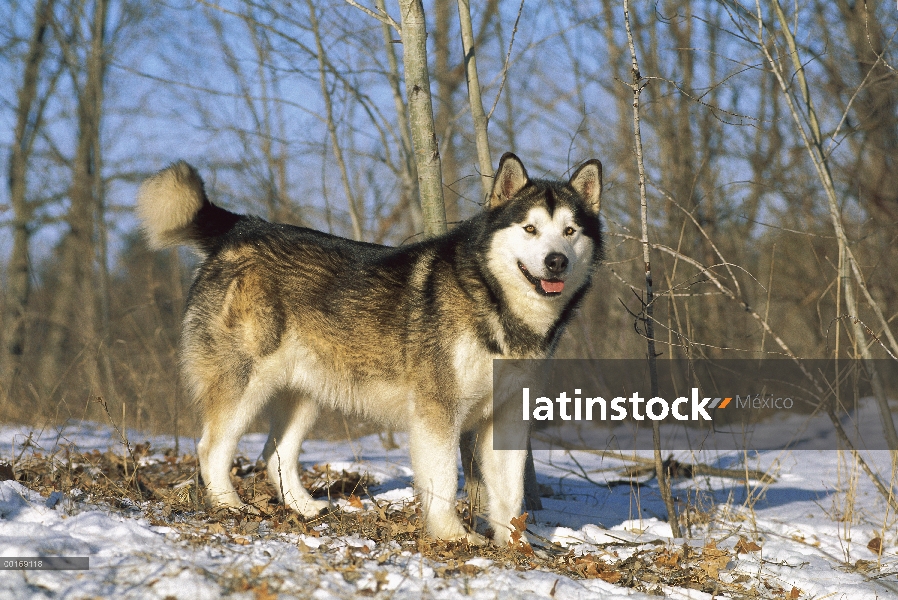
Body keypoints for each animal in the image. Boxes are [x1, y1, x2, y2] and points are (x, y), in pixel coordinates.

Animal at [138, 154, 600, 544]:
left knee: (274, 456)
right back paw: (230, 506)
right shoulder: (437, 411)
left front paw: (517, 546)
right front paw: (453, 536)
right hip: (245, 384)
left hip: (306, 394)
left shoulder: (507, 416)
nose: (556, 260)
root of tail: (241, 227)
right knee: (211, 449)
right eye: (530, 229)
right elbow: (442, 480)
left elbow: (510, 493)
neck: (493, 299)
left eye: (570, 231)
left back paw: (306, 509)